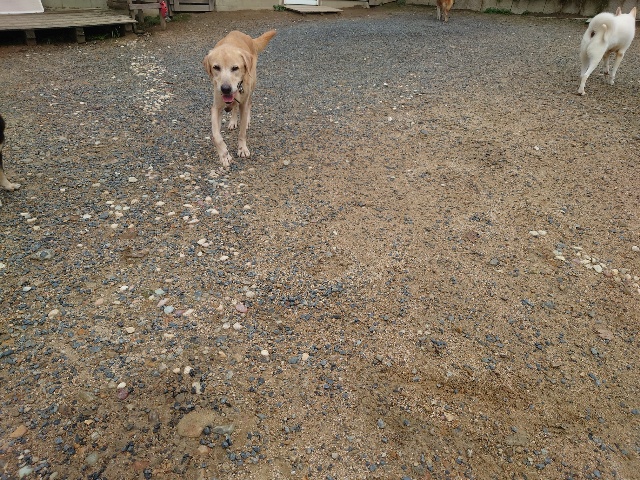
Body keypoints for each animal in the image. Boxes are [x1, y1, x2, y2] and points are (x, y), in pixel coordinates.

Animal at [203, 30, 277, 167]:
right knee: (234, 107)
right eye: (216, 67)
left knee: (248, 104)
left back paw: (246, 120)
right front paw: (224, 155)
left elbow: (242, 133)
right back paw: (233, 121)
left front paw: (242, 149)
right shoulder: (216, 108)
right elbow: (216, 136)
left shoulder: (243, 102)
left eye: (235, 68)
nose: (225, 89)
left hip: (251, 87)